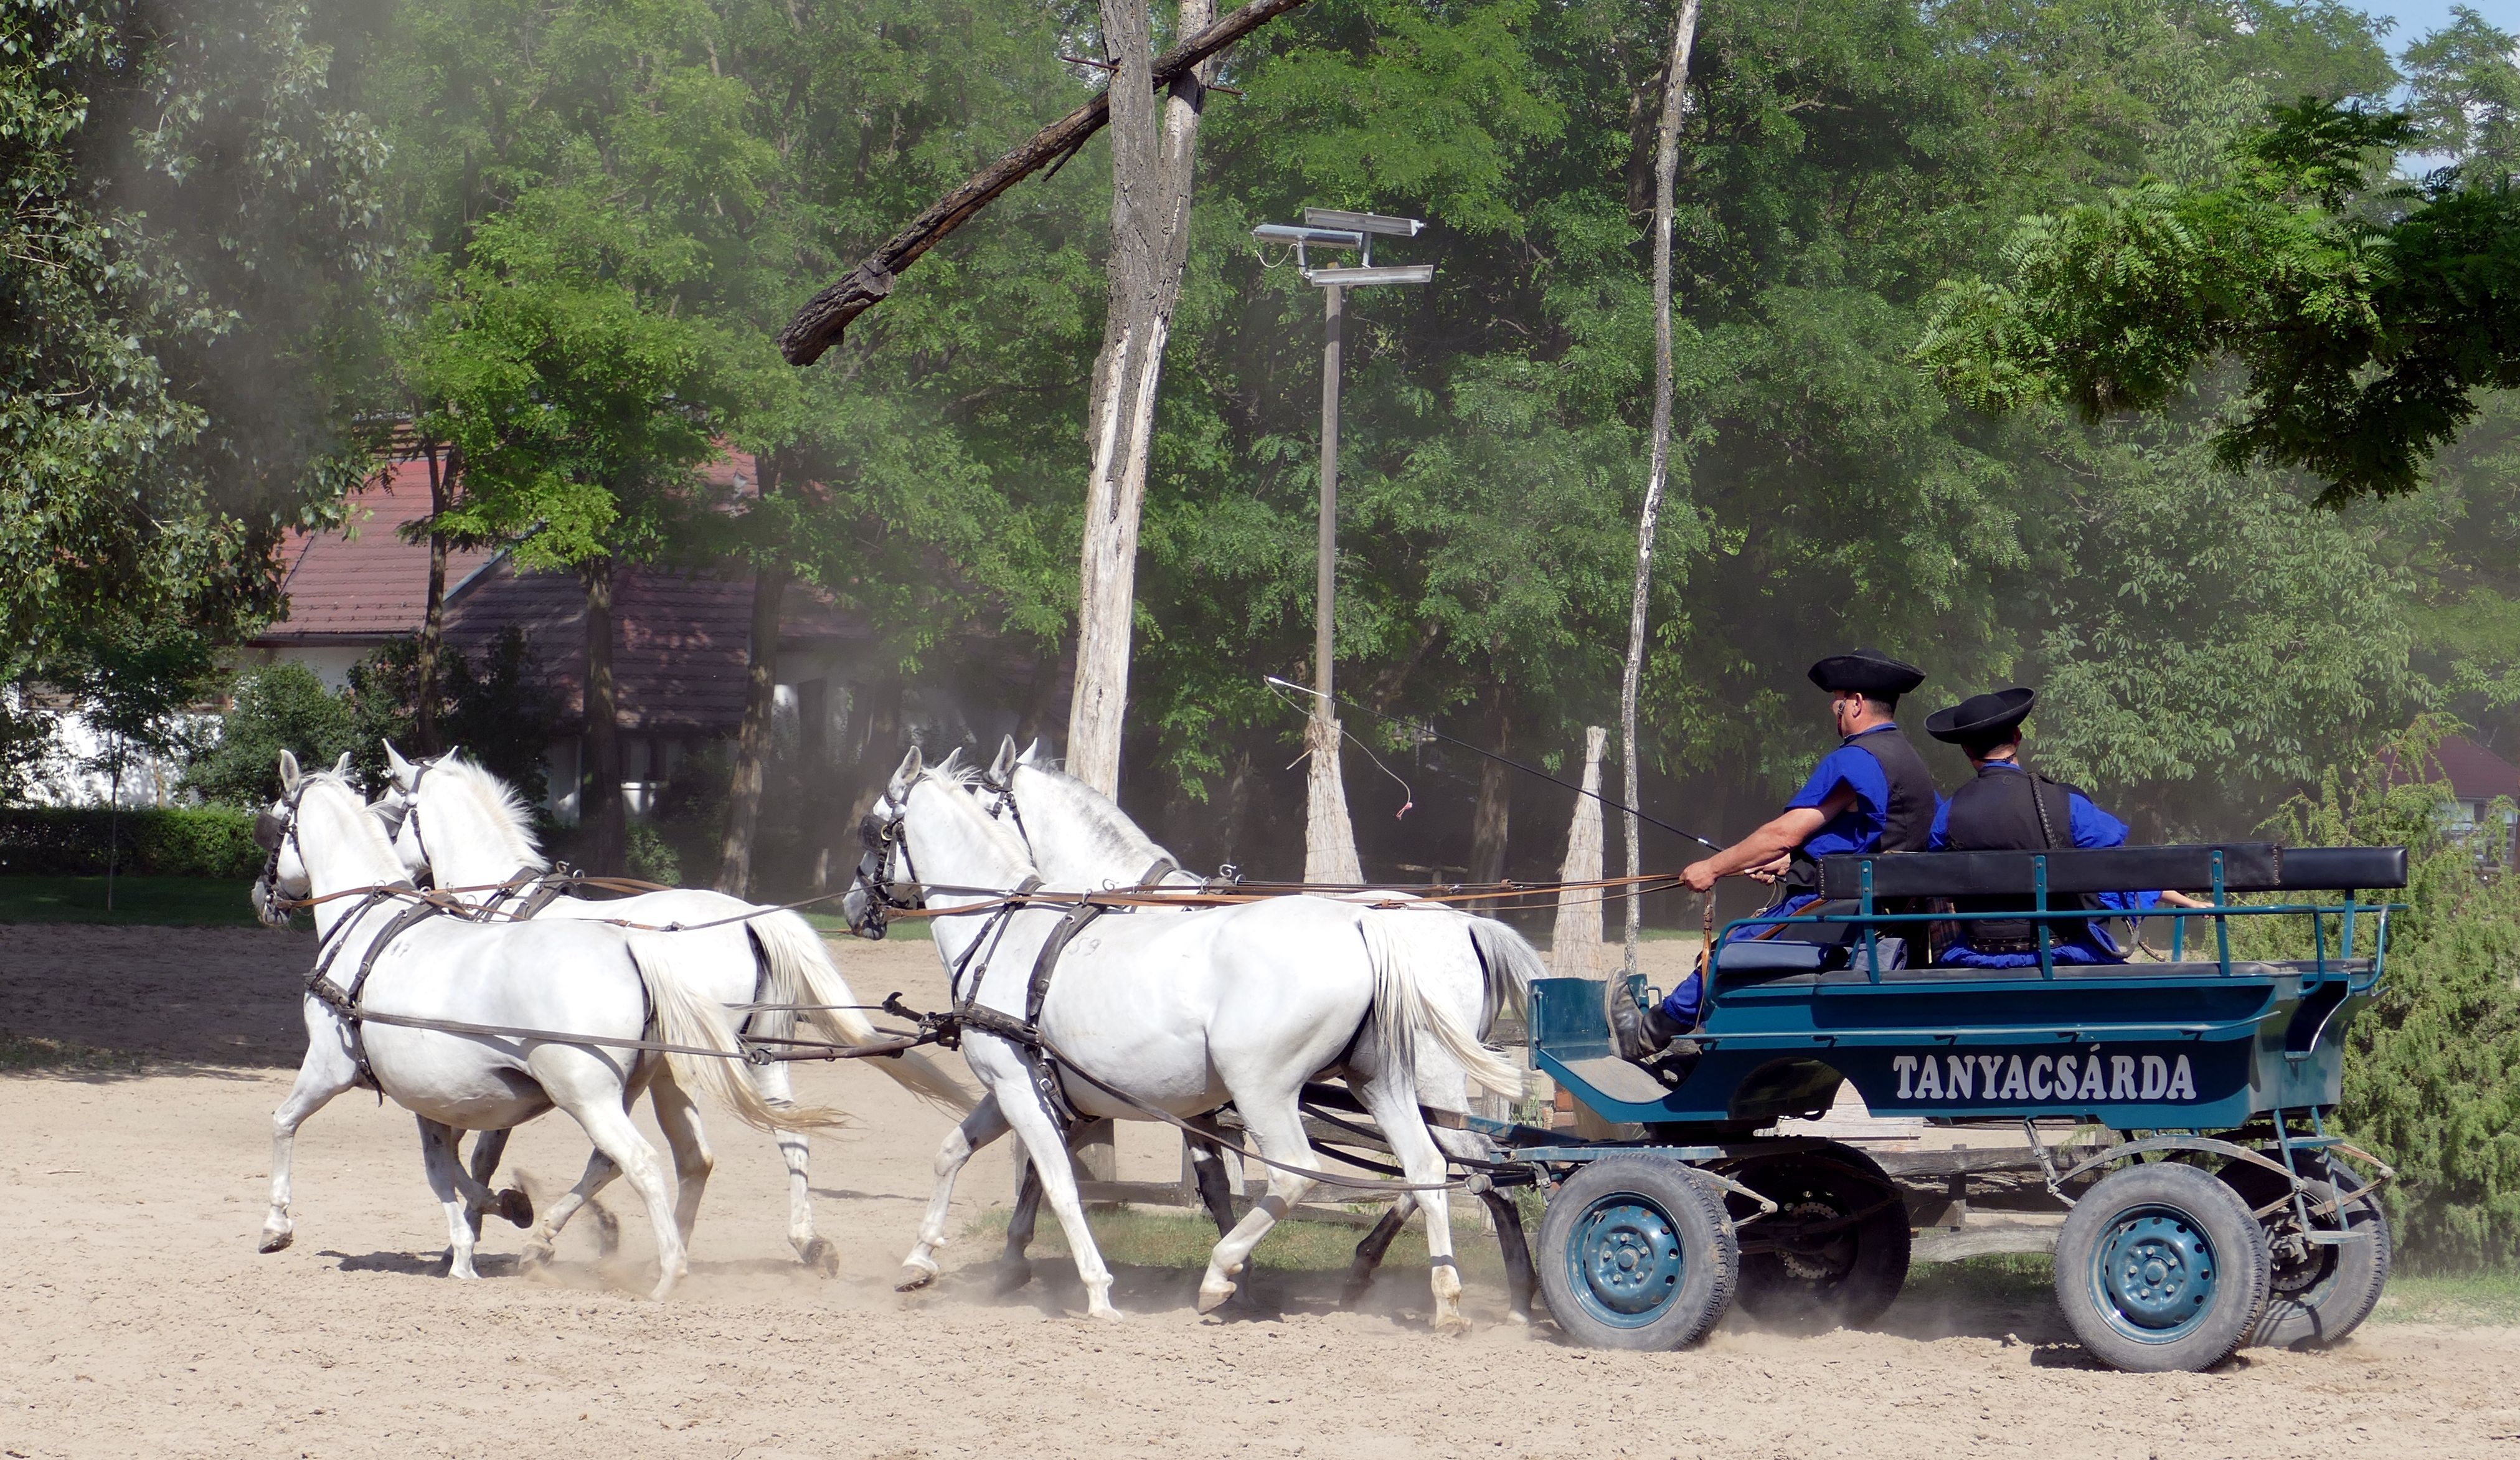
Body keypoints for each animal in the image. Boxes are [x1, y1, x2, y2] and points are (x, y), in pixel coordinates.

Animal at [252, 756, 811, 1301]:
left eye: (271, 824)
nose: (261, 894)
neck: (371, 923)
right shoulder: (438, 1095)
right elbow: (451, 1166)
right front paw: (485, 1226)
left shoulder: (331, 1067)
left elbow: (285, 1122)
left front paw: (277, 1225)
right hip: (688, 1075)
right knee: (710, 1148)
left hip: (594, 1094)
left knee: (643, 1161)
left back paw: (666, 1268)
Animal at [372, 741, 973, 1266]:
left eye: (391, 812)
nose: (397, 878)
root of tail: (752, 919)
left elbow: (480, 1152)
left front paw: (473, 1231)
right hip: (761, 1056)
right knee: (789, 1136)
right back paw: (804, 1242)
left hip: (689, 1064)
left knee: (672, 1155)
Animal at [841, 746, 1512, 1331]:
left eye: (873, 829)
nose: (852, 906)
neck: (1008, 934)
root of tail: (1363, 925)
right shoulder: (1040, 1092)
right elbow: (953, 1152)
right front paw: (922, 1260)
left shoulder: (1024, 1088)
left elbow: (1058, 1182)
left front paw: (1096, 1289)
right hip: (1378, 1080)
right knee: (1430, 1167)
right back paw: (1447, 1298)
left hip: (1270, 1089)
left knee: (1309, 1173)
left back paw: (1223, 1274)